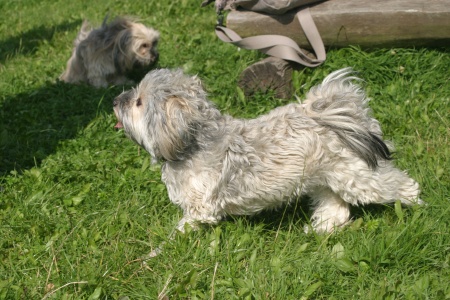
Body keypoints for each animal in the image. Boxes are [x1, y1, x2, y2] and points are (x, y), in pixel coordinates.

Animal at [112, 68, 422, 234]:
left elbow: (180, 231)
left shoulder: (201, 209)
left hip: (359, 178)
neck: (192, 143)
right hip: (325, 179)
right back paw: (320, 230)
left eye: (138, 102)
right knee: (336, 208)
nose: (115, 100)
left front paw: (158, 253)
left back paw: (416, 206)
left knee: (399, 184)